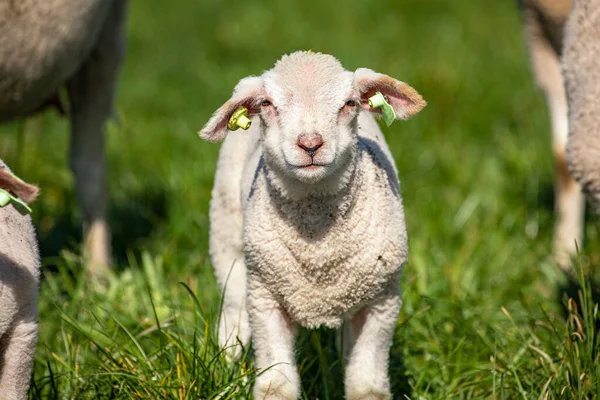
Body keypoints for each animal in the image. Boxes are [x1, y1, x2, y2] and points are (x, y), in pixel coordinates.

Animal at [202, 51, 426, 400]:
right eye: (267, 103)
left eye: (350, 102)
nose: (310, 144)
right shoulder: (265, 298)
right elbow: (276, 385)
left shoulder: (382, 301)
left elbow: (367, 385)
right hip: (227, 237)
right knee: (233, 310)